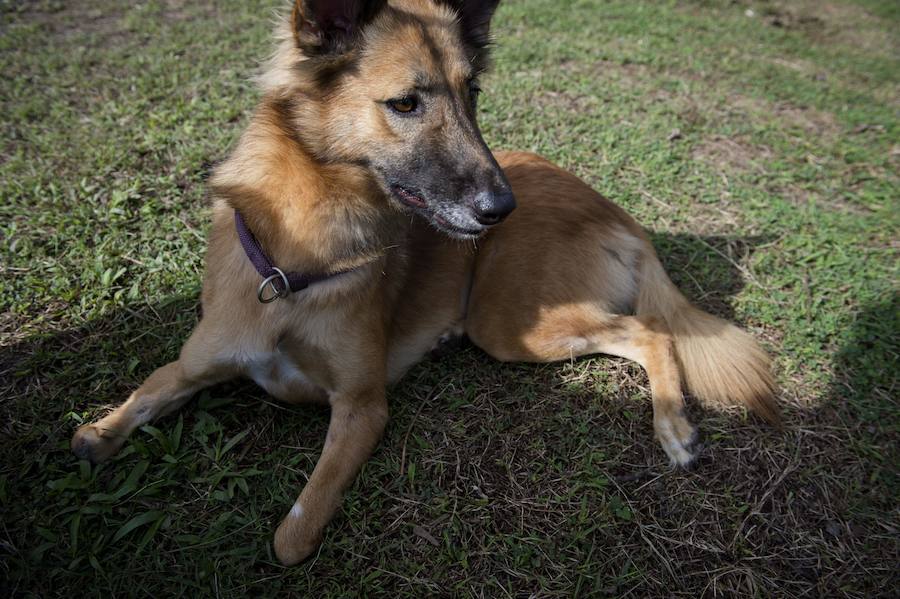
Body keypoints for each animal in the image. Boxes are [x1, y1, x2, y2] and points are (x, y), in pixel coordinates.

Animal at [70, 0, 776, 564]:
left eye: (474, 95)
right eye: (405, 103)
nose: (501, 207)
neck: (295, 268)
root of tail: (615, 210)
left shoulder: (362, 409)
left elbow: (291, 535)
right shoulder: (194, 365)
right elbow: (139, 399)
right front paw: (97, 434)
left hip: (511, 324)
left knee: (649, 330)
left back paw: (674, 428)